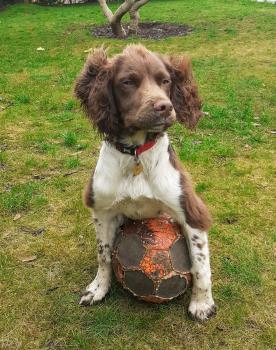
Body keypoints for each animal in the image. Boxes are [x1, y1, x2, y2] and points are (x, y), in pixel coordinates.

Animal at [74, 45, 217, 322]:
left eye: (166, 80)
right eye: (127, 82)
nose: (165, 106)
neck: (136, 156)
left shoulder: (191, 211)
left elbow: (200, 264)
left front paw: (202, 304)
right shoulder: (102, 211)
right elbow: (104, 255)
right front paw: (98, 289)